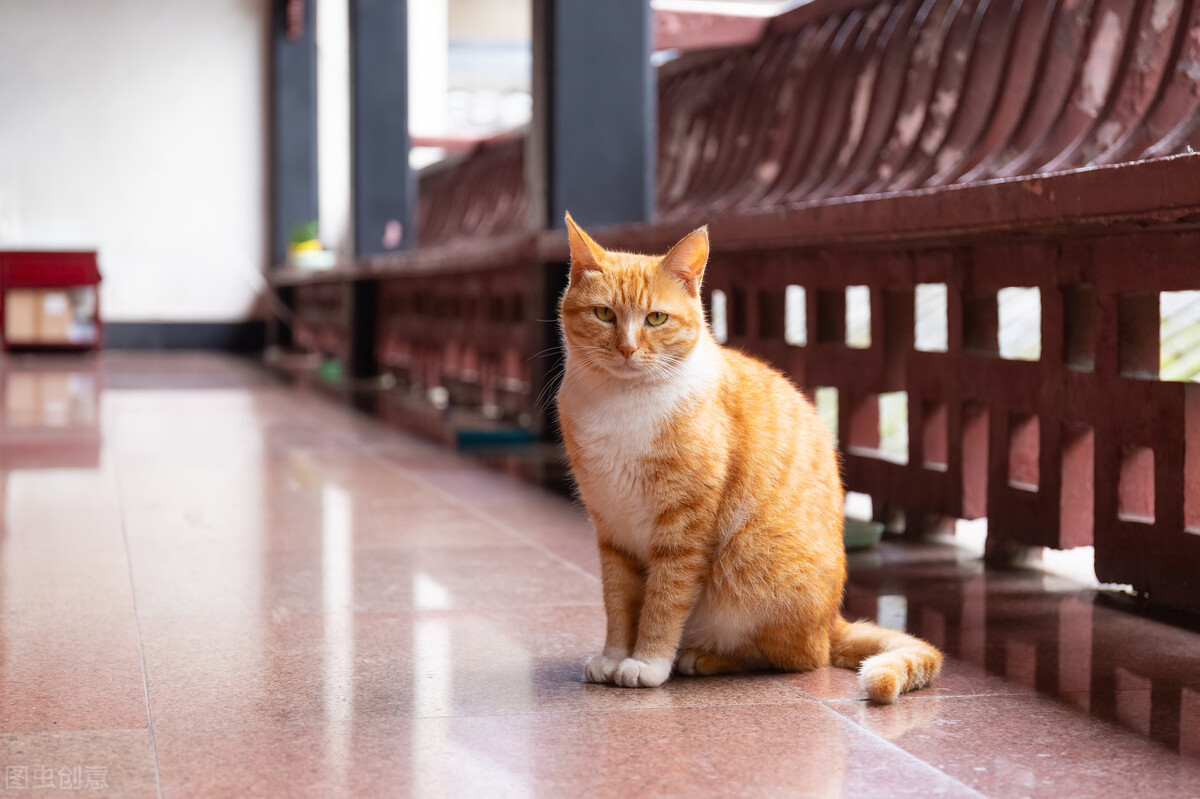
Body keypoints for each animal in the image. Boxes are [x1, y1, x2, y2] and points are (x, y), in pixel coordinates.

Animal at [556, 213, 940, 705]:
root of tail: (831, 621)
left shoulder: (683, 530)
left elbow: (664, 601)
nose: (626, 349)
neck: (621, 406)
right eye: (604, 314)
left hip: (751, 573)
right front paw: (615, 654)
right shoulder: (611, 528)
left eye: (656, 318)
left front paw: (647, 662)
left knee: (797, 658)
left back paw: (701, 658)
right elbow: (619, 600)